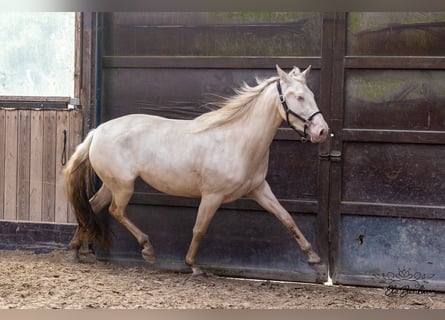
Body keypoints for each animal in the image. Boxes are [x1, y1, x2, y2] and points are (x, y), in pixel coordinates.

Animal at [66, 64, 330, 276]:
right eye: (298, 97)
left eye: (311, 95)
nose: (322, 131)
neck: (238, 139)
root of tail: (97, 132)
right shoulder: (212, 195)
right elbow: (200, 229)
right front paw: (194, 266)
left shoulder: (258, 189)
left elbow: (287, 218)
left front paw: (315, 259)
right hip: (123, 186)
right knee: (115, 211)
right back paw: (147, 249)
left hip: (112, 185)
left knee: (92, 206)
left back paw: (75, 250)